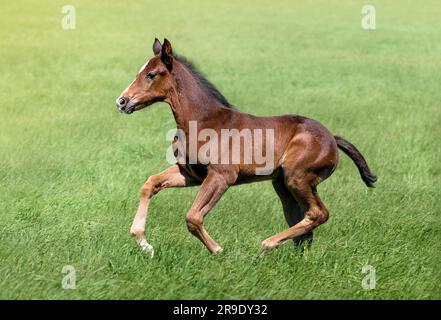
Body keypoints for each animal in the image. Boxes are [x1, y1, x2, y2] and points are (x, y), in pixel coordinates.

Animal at [115, 39, 376, 255]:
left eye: (151, 74)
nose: (122, 101)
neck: (202, 121)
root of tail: (332, 137)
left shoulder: (222, 176)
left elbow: (193, 217)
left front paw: (218, 250)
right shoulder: (191, 174)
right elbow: (150, 184)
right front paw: (144, 243)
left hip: (298, 178)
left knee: (318, 214)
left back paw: (266, 245)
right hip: (284, 185)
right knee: (304, 225)